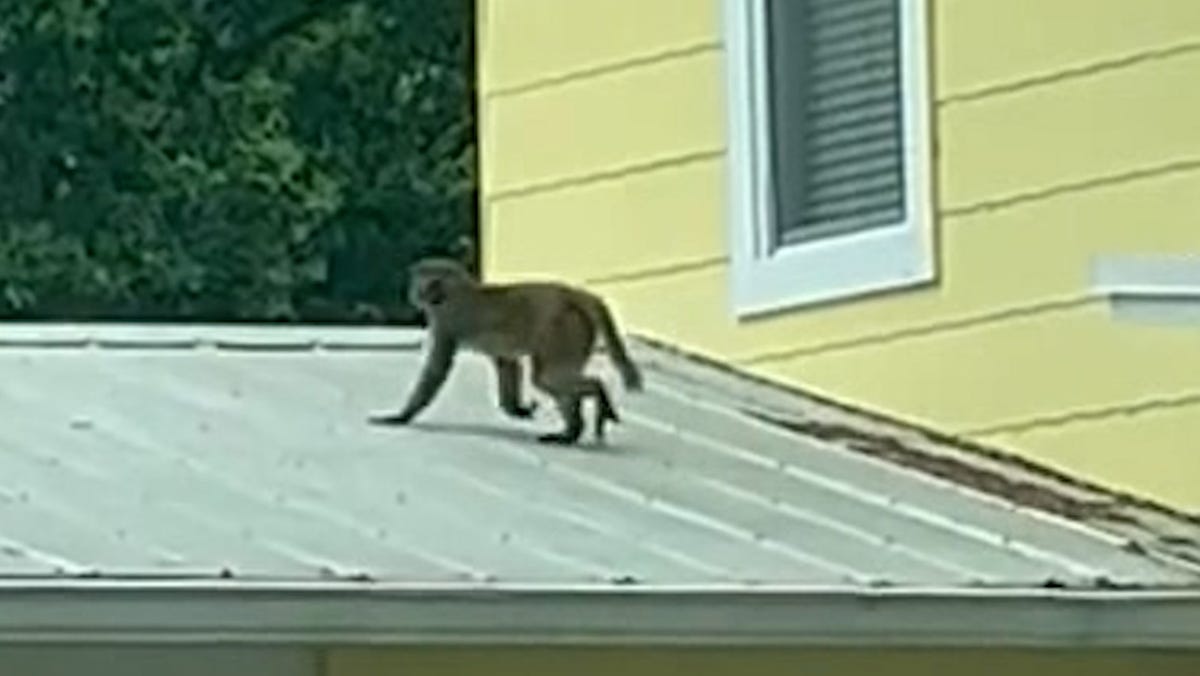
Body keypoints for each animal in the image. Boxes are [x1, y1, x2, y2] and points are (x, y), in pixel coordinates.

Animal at [370, 257, 643, 445]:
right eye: (422, 280)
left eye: (433, 281)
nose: (422, 292)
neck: (454, 289)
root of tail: (574, 295)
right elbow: (507, 363)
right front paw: (516, 409)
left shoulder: (448, 318)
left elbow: (437, 369)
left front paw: (401, 416)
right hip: (576, 329)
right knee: (549, 377)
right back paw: (570, 433)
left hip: (563, 329)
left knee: (547, 377)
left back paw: (598, 394)